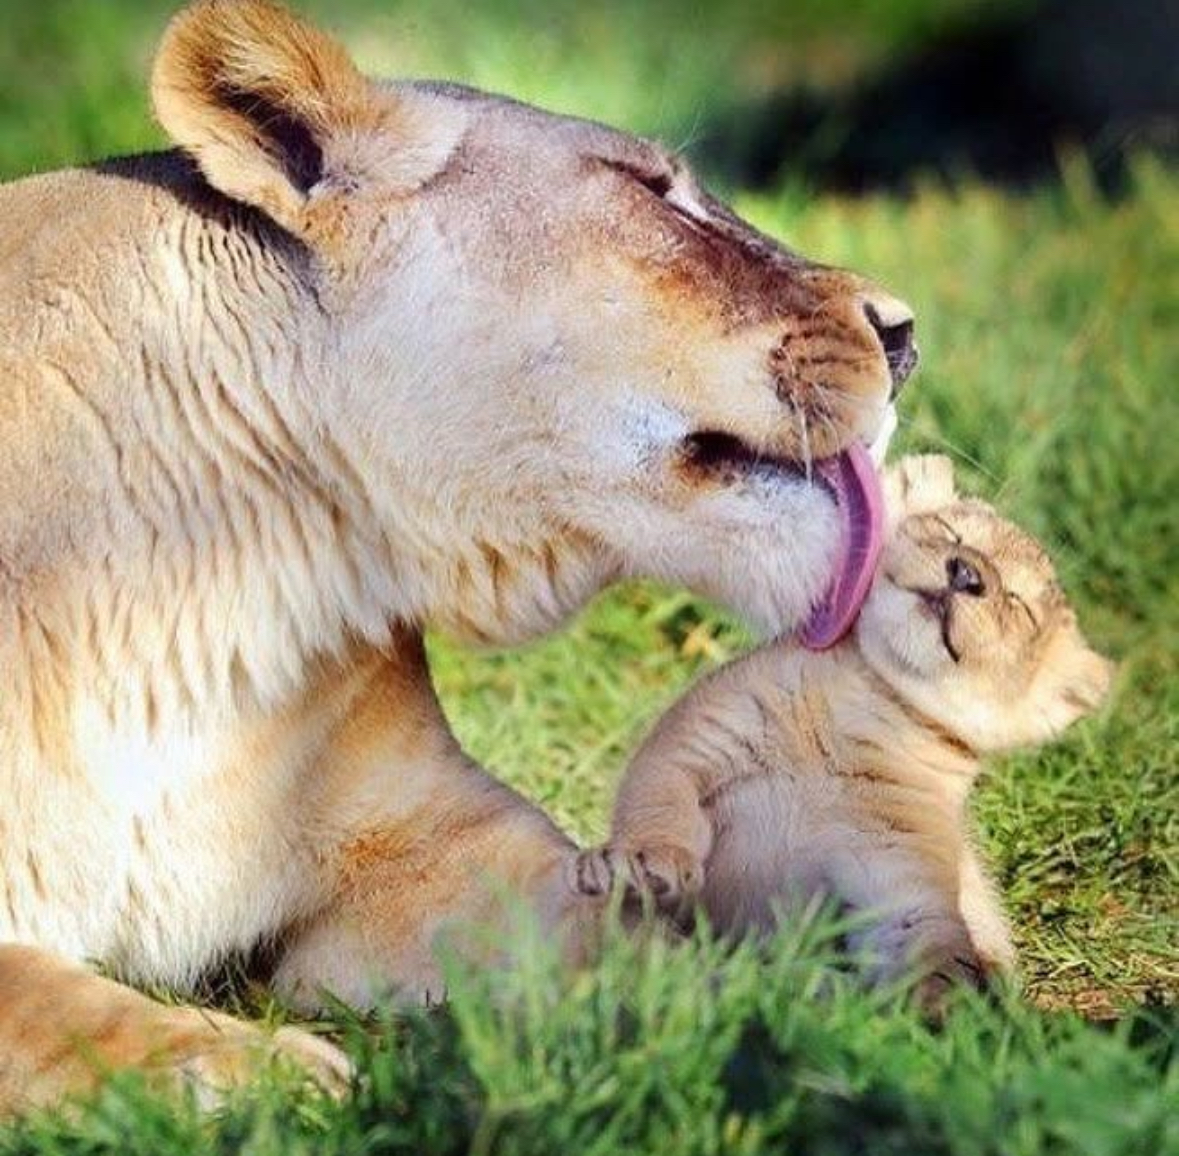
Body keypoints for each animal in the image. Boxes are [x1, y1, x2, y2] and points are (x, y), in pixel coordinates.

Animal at [0, 0, 917, 1114]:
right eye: (653, 192)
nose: (906, 330)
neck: (208, 583)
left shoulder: (428, 838)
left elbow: (616, 925)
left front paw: (806, 1016)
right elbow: (53, 1009)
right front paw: (253, 1070)